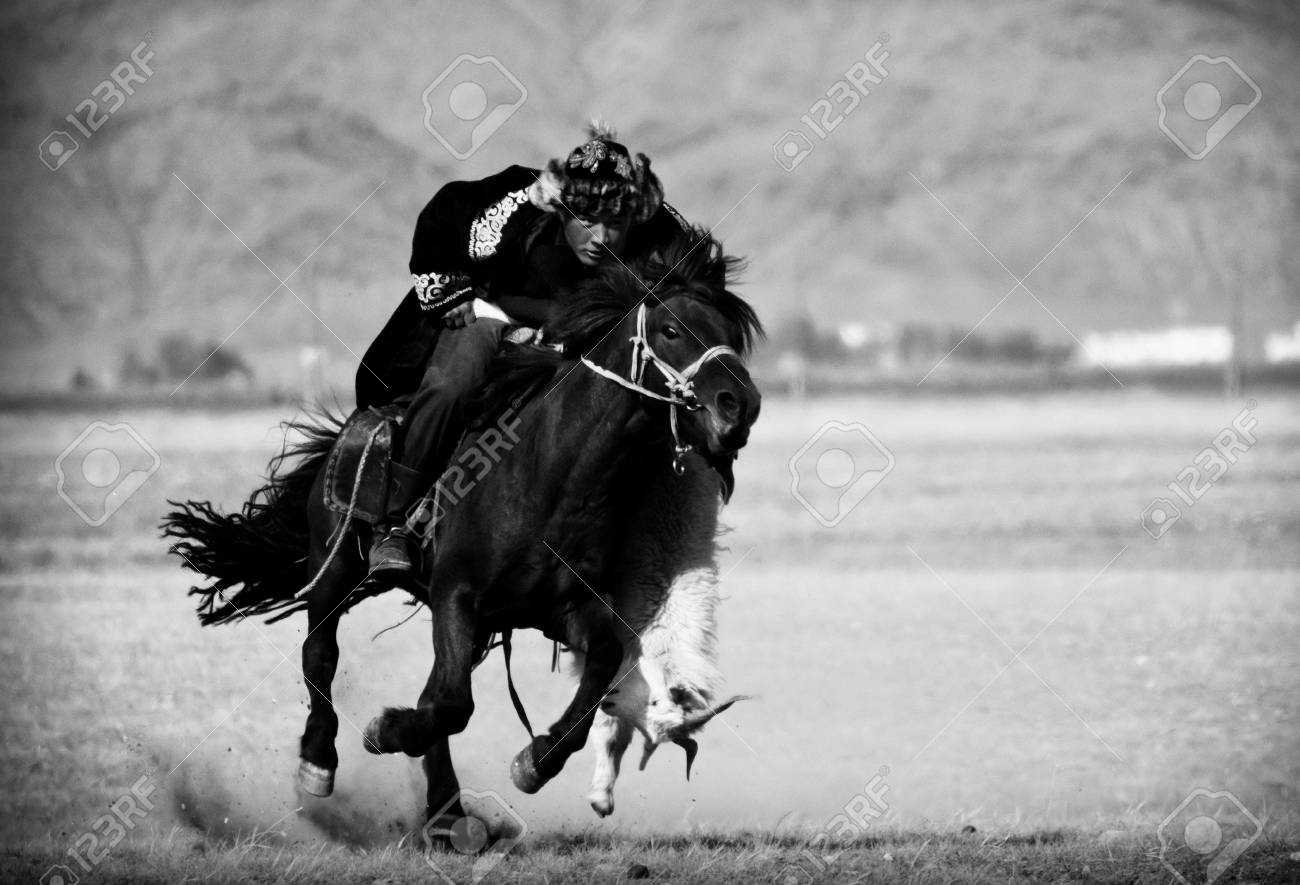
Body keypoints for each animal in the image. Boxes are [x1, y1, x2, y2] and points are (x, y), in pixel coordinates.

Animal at [163, 227, 763, 825]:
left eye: (732, 333)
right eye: (671, 329)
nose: (741, 406)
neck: (554, 476)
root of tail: (357, 426)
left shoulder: (563, 612)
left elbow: (594, 678)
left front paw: (534, 762)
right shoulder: (458, 594)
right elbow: (451, 704)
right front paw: (384, 730)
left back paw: (449, 813)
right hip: (334, 566)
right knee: (323, 654)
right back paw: (320, 761)